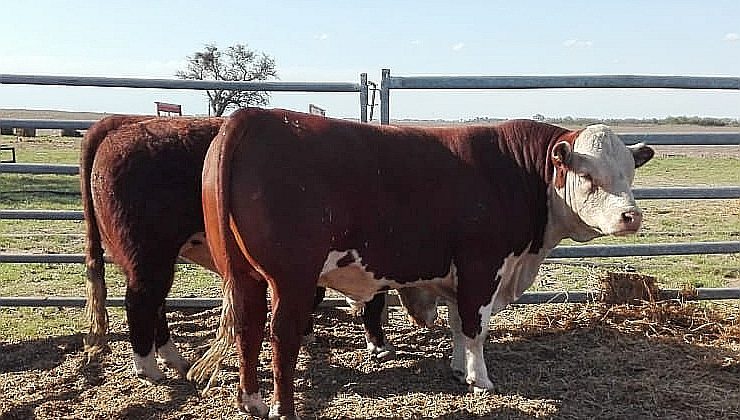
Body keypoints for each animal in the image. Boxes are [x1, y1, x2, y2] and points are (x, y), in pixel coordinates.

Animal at [201, 107, 652, 416]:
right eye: (588, 176)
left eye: (629, 173)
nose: (631, 216)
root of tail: (252, 116)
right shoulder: (482, 265)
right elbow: (476, 327)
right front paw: (480, 380)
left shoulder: (457, 276)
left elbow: (457, 324)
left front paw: (457, 369)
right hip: (292, 279)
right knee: (281, 335)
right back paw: (284, 408)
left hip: (242, 273)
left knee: (247, 326)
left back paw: (252, 401)